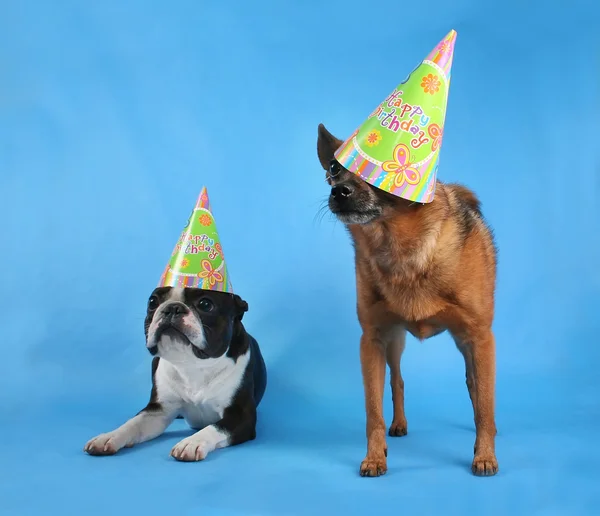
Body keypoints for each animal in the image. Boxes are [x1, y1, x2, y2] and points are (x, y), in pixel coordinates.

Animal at [83, 286, 266, 464]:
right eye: (152, 302)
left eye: (205, 304)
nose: (173, 308)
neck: (193, 364)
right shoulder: (159, 410)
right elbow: (133, 423)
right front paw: (109, 437)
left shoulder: (241, 416)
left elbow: (215, 427)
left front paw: (191, 442)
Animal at [316, 123, 500, 478]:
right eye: (333, 168)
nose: (339, 191)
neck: (401, 250)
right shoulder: (372, 341)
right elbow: (373, 412)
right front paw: (375, 457)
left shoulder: (480, 338)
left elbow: (485, 403)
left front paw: (485, 454)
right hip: (394, 341)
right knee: (397, 379)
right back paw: (398, 425)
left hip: (467, 343)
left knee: (474, 385)